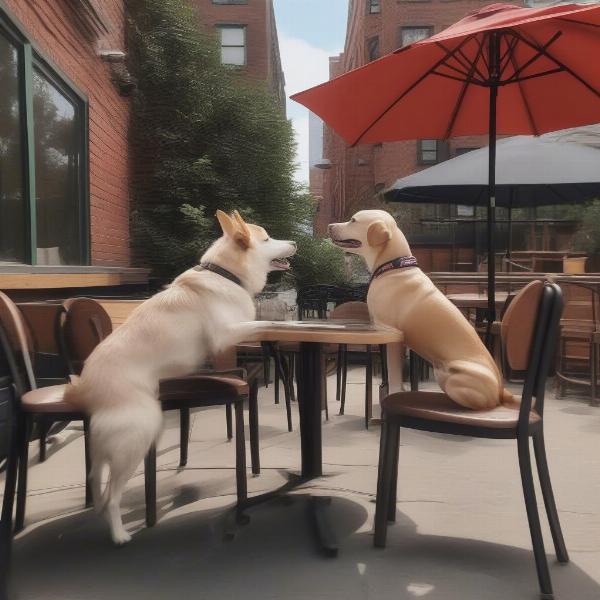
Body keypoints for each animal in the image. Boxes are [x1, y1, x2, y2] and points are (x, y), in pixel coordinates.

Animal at [66, 211, 298, 544]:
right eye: (267, 239)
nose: (295, 242)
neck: (226, 274)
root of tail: (87, 387)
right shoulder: (225, 335)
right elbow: (262, 322)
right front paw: (285, 323)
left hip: (111, 442)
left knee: (96, 477)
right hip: (139, 433)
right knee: (113, 495)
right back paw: (120, 535)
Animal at [328, 209, 510, 410]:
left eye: (353, 220)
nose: (329, 226)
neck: (393, 267)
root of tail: (501, 392)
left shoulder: (392, 336)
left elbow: (394, 375)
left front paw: (392, 395)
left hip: (451, 374)